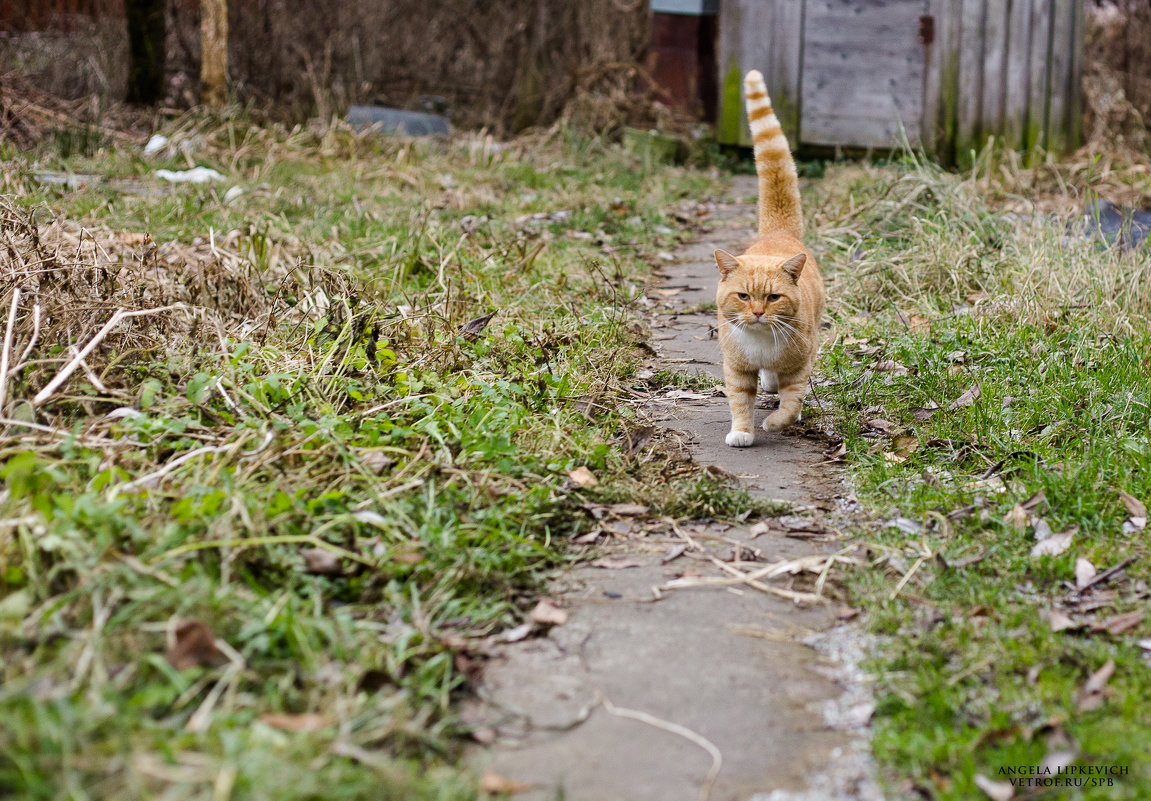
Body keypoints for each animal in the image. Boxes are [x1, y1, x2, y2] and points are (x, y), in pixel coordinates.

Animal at [713, 71, 824, 446]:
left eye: (773, 298)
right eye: (744, 296)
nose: (759, 313)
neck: (761, 343)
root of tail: (777, 234)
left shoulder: (800, 365)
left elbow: (792, 401)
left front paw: (777, 423)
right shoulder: (736, 368)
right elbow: (739, 400)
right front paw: (741, 432)